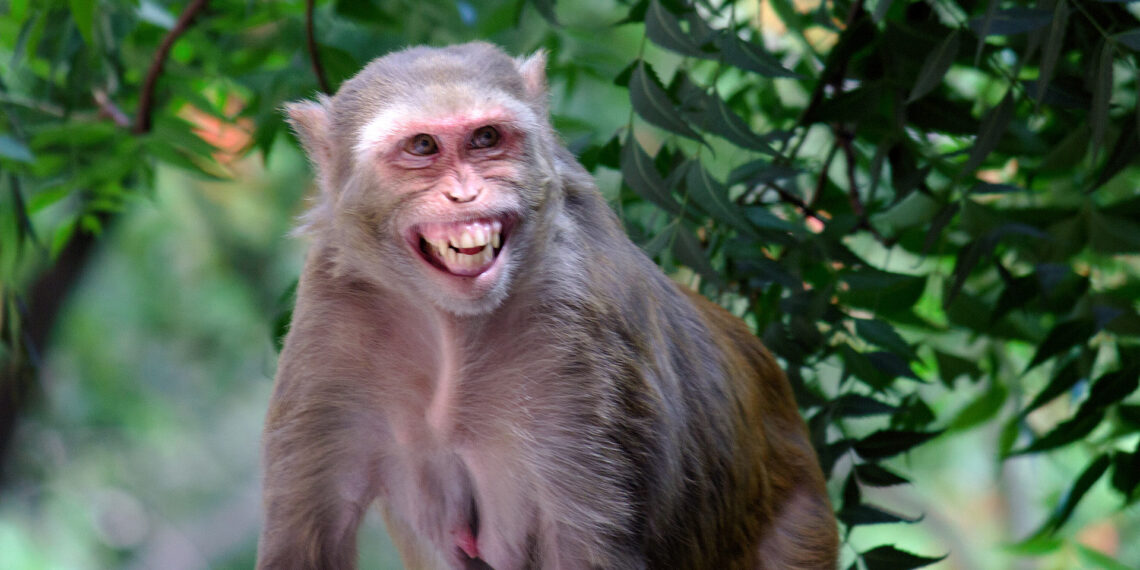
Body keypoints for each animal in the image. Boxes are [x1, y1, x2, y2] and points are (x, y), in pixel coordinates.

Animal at [257, 42, 838, 570]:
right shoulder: (330, 317)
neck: (451, 327)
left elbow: (587, 545)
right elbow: (305, 538)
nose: (466, 195)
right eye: (422, 146)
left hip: (801, 525)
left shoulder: (582, 340)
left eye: (486, 138)